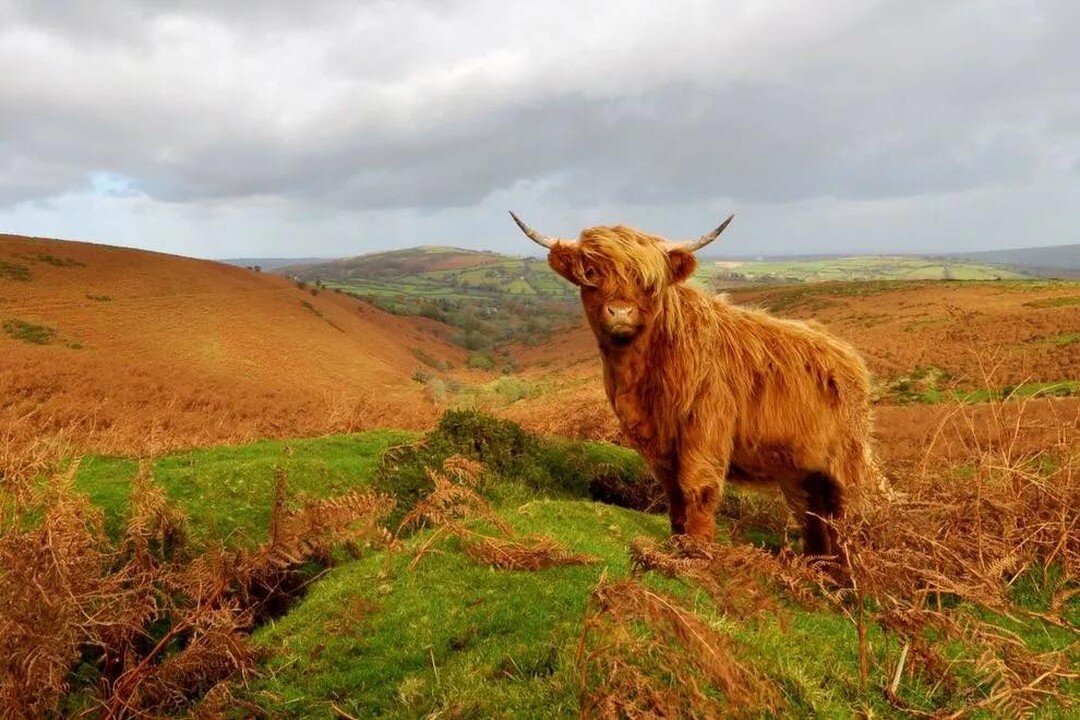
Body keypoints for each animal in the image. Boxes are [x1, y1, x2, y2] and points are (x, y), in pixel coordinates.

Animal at [511, 211, 876, 561]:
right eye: (591, 272)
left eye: (649, 282)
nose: (620, 312)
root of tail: (848, 354)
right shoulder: (658, 443)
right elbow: (674, 493)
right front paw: (677, 541)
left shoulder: (705, 427)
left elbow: (697, 488)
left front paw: (698, 551)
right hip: (802, 471)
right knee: (814, 518)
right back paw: (820, 569)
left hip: (845, 465)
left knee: (846, 518)